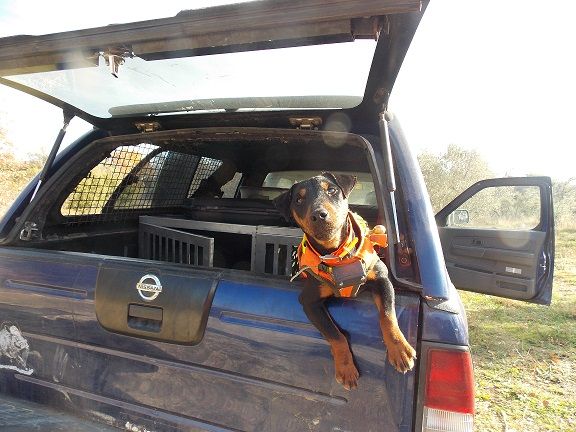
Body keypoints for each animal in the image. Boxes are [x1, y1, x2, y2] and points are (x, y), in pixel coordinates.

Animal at [274, 172, 416, 389]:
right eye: (298, 200)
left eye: (331, 190)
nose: (319, 215)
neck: (337, 253)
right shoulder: (309, 302)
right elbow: (335, 335)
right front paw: (346, 369)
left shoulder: (382, 279)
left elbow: (387, 315)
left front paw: (399, 349)